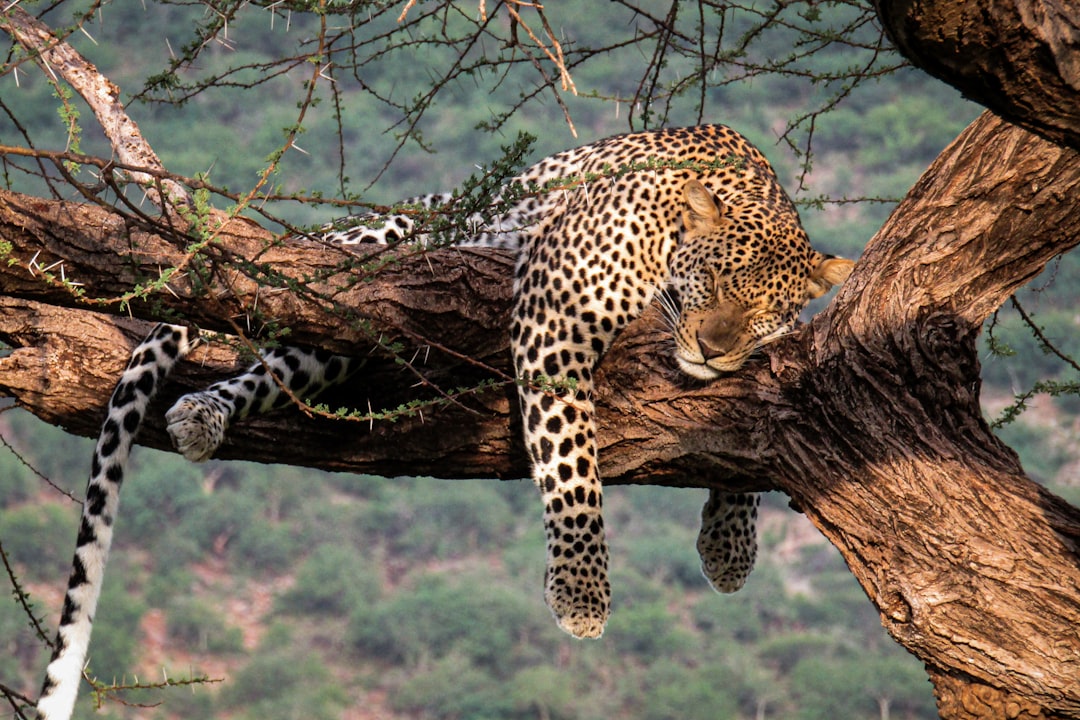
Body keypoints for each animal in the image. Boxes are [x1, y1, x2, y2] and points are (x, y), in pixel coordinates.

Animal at [36, 124, 852, 720]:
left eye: (765, 310)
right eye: (712, 278)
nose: (713, 346)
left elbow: (744, 440)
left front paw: (729, 545)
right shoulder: (557, 317)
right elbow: (572, 463)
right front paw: (582, 593)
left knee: (287, 365)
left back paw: (205, 414)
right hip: (370, 274)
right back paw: (205, 408)